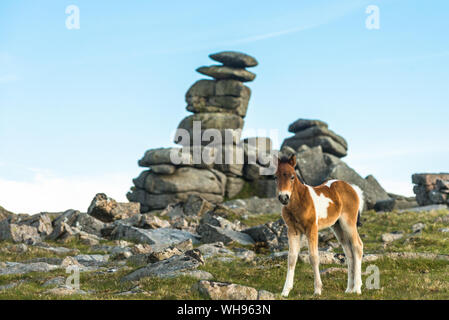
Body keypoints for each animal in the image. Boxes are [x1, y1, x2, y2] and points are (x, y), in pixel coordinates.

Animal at [272, 154, 364, 296]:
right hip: (338, 227)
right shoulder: (293, 231)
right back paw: (349, 289)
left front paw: (317, 290)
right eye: (276, 177)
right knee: (349, 253)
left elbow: (314, 257)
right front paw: (285, 291)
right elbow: (291, 258)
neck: (299, 202)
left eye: (292, 176)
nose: (284, 198)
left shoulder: (312, 229)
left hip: (348, 223)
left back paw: (357, 289)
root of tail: (353, 188)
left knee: (357, 246)